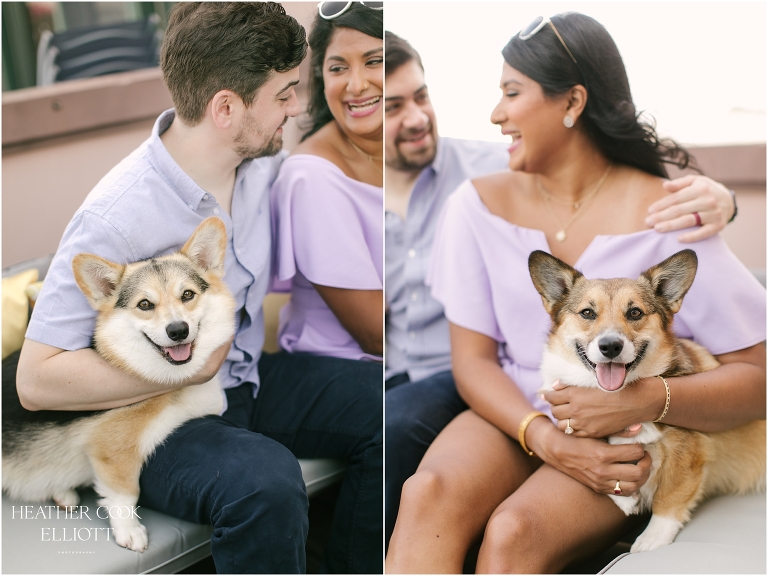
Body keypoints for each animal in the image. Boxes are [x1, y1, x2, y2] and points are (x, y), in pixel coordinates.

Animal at [2, 217, 234, 552]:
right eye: (145, 304)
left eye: (188, 295)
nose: (178, 330)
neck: (172, 382)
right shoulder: (112, 452)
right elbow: (125, 493)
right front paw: (130, 531)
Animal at [532, 251, 764, 552]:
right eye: (587, 313)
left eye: (635, 312)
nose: (610, 346)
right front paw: (624, 498)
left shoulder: (688, 455)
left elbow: (669, 499)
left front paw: (653, 539)